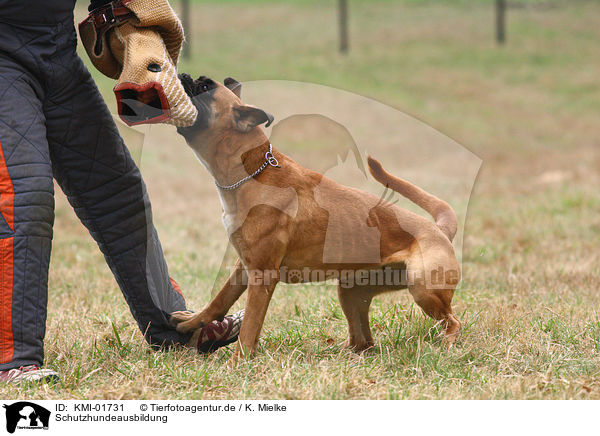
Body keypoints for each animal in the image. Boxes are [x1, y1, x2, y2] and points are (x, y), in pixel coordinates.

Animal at [171, 76, 462, 362]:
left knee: (452, 322)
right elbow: (219, 301)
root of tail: (438, 229)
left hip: (423, 288)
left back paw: (445, 346)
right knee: (364, 342)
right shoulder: (243, 267)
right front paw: (191, 323)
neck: (252, 170)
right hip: (351, 292)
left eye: (205, 86)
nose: (182, 75)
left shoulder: (262, 275)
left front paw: (238, 362)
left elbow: (251, 324)